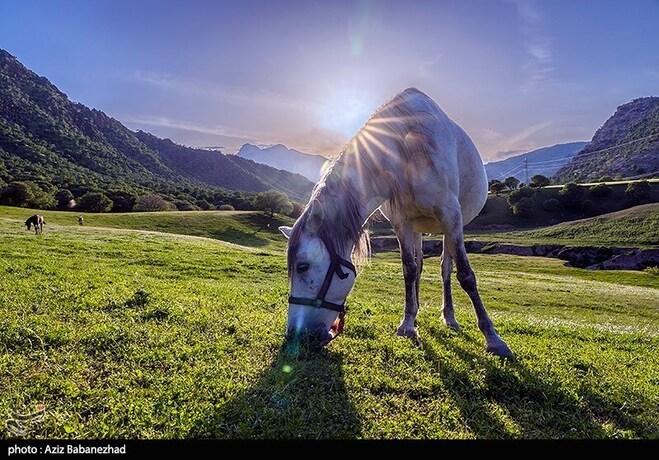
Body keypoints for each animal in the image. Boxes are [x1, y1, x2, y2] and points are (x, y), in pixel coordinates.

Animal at [278, 88, 510, 358]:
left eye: (302, 267)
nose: (295, 335)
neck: (406, 147)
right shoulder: (402, 223)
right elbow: (409, 269)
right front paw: (408, 323)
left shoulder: (450, 215)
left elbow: (466, 275)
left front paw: (493, 338)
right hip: (418, 227)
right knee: (420, 265)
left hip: (450, 226)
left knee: (446, 268)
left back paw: (450, 317)